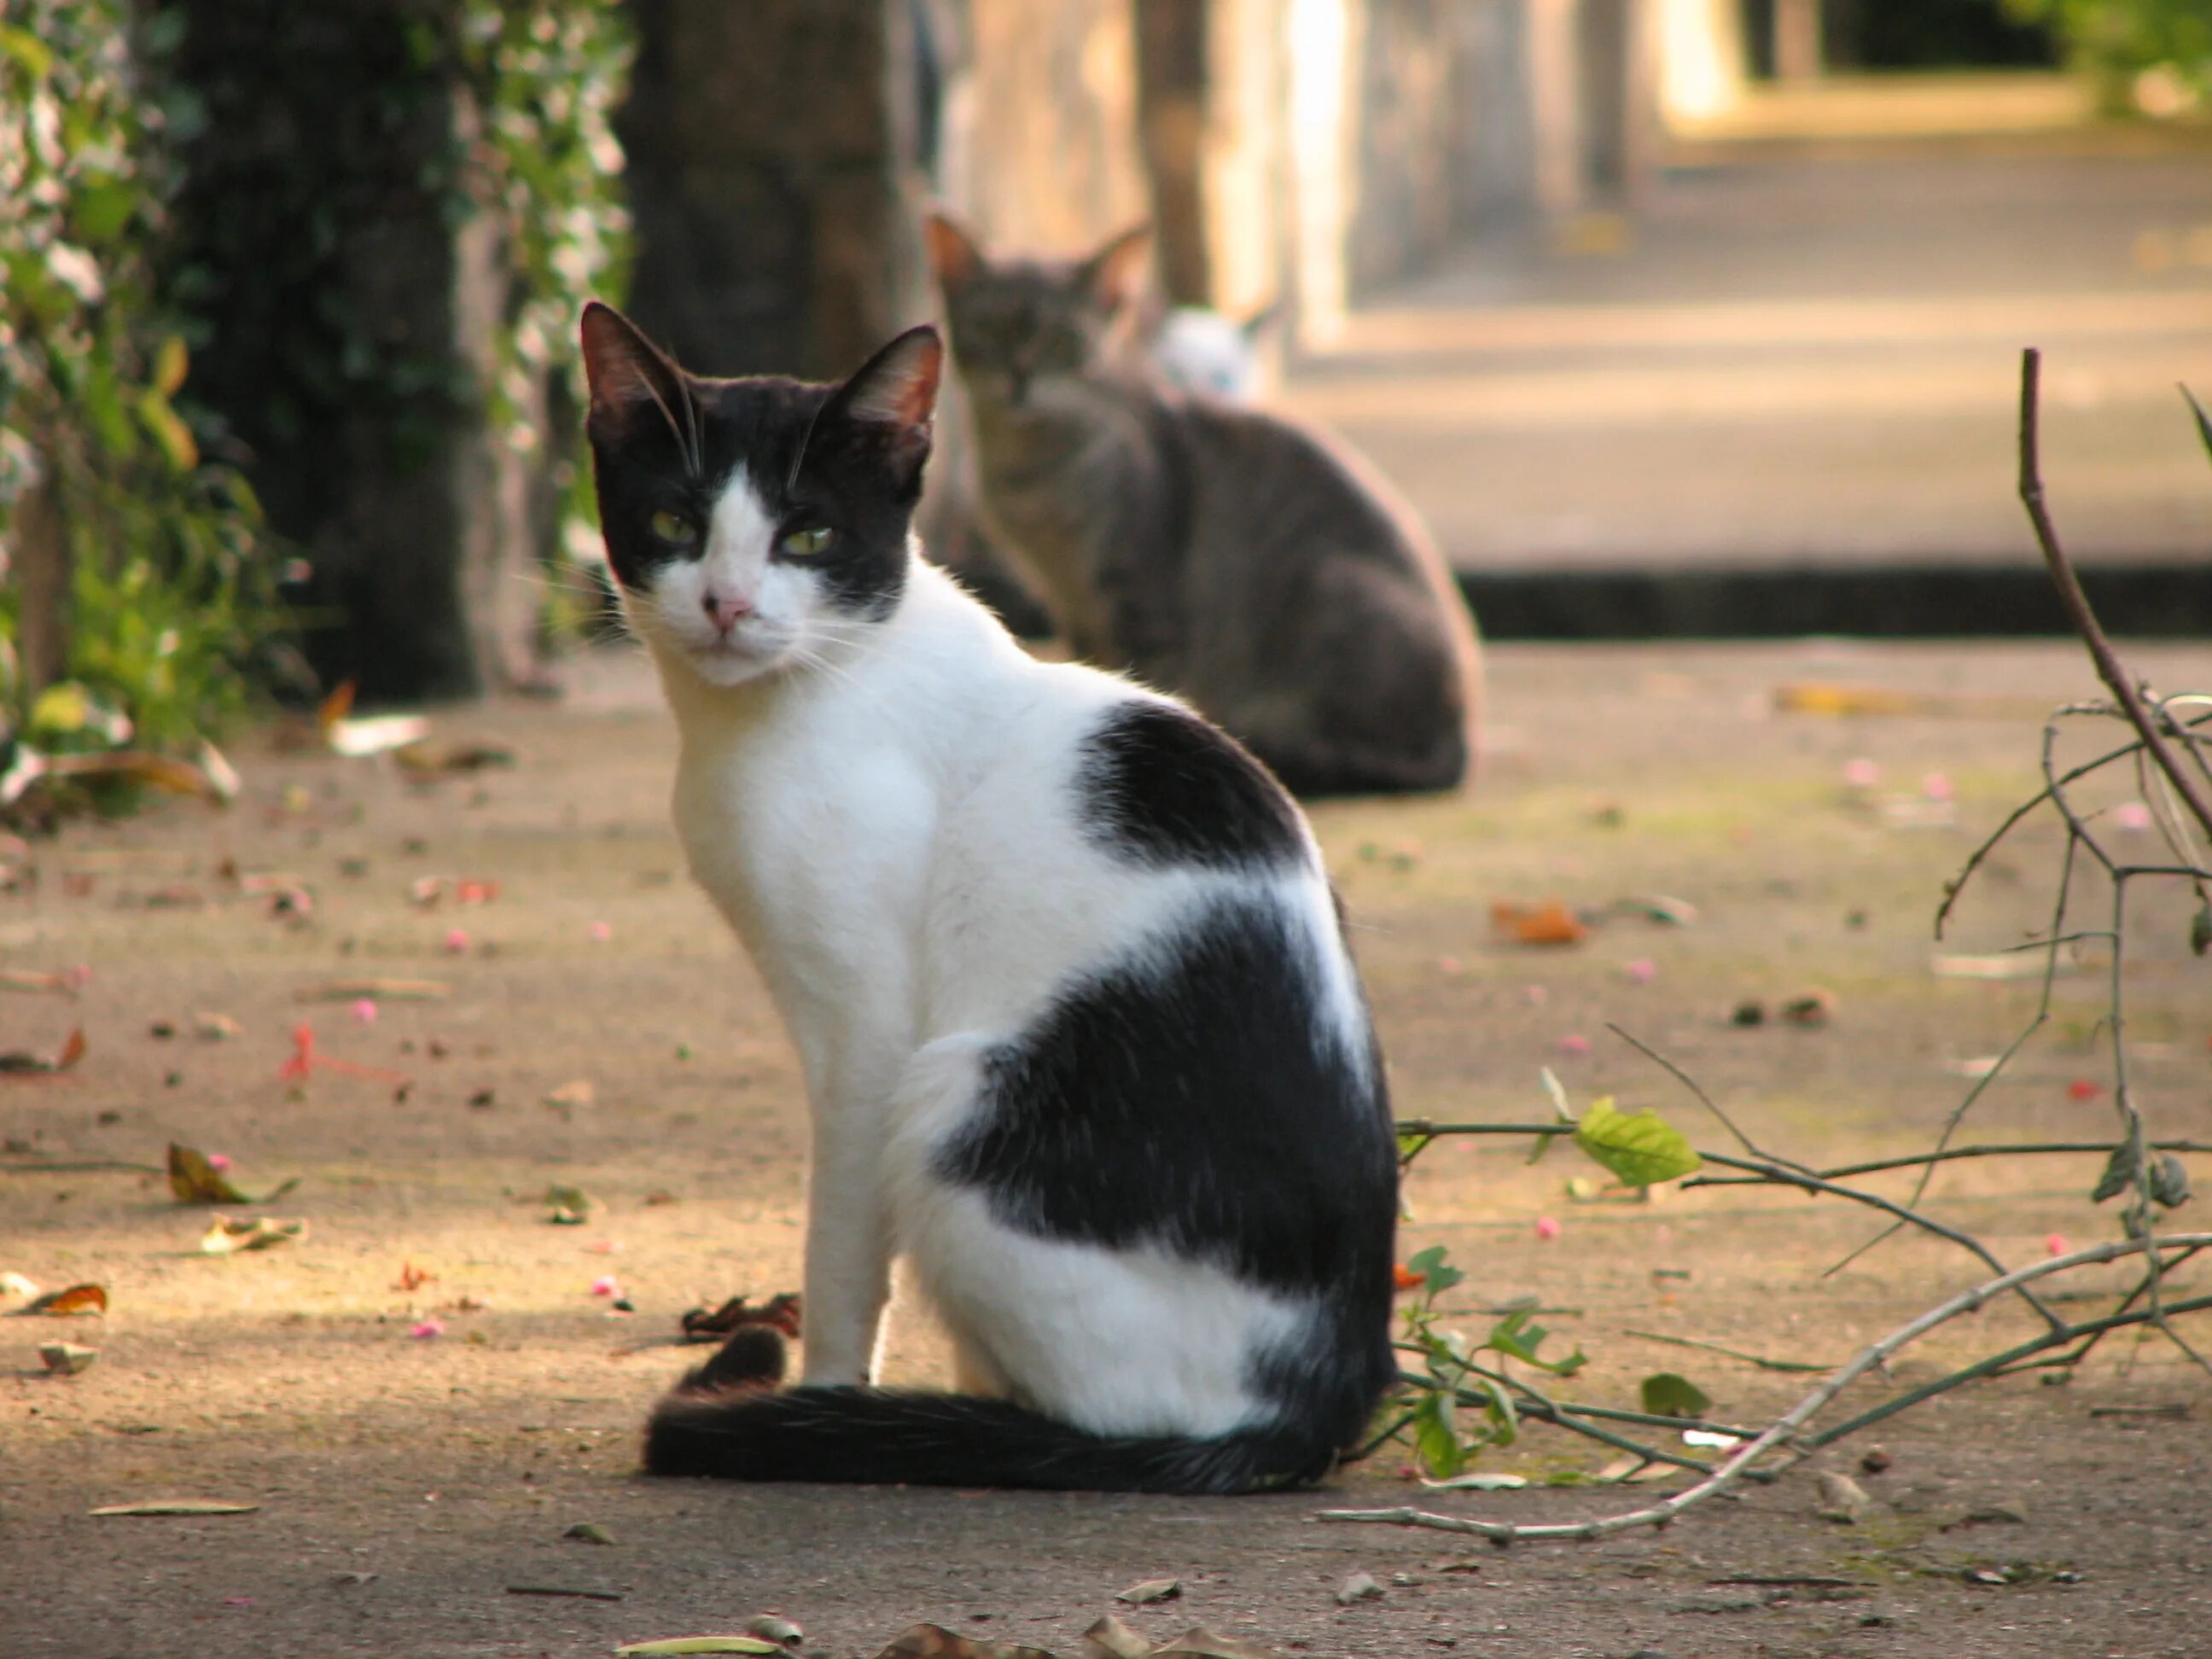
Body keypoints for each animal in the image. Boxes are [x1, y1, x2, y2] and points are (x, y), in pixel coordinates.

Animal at [579, 305, 1388, 1504]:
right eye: (675, 521)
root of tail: (1318, 1410)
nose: (727, 605)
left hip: (959, 1100)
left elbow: (841, 1254)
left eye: (807, 538)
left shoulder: (867, 1037)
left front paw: (826, 1397)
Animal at [924, 212, 1477, 800]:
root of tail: (1460, 741)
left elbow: (1138, 680)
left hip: (1335, 588)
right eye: (987, 328)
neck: (1028, 472)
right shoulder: (1072, 603)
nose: (1019, 377)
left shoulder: (1142, 602)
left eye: (1062, 339)